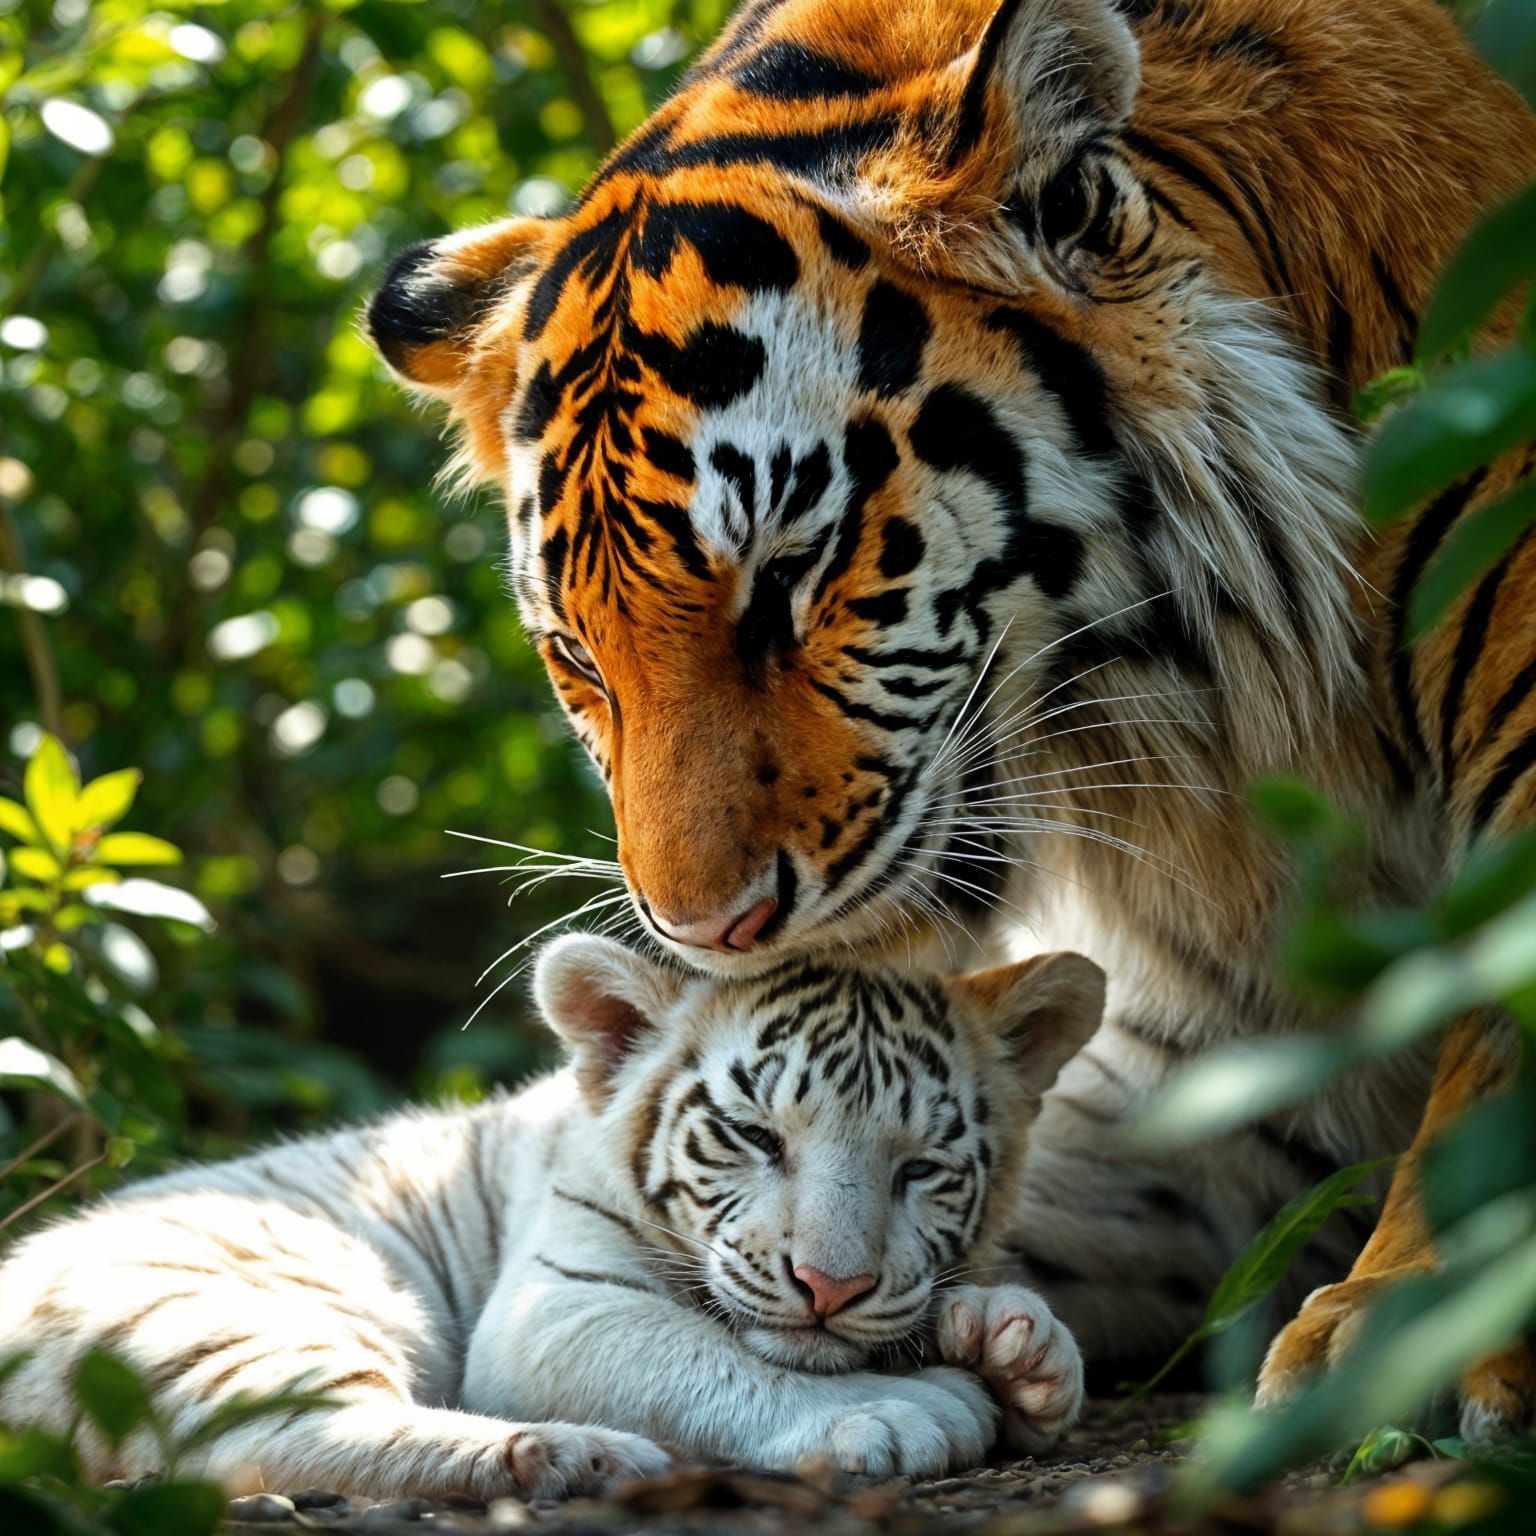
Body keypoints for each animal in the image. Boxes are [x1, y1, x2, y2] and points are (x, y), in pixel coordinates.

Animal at [0, 938, 1102, 1495]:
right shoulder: (552, 1308)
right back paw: (574, 1455)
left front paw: (1018, 1348)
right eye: (754, 1137)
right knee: (264, 1441)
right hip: (227, 1313)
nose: (831, 1286)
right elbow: (705, 1360)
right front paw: (904, 1409)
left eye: (920, 1169)